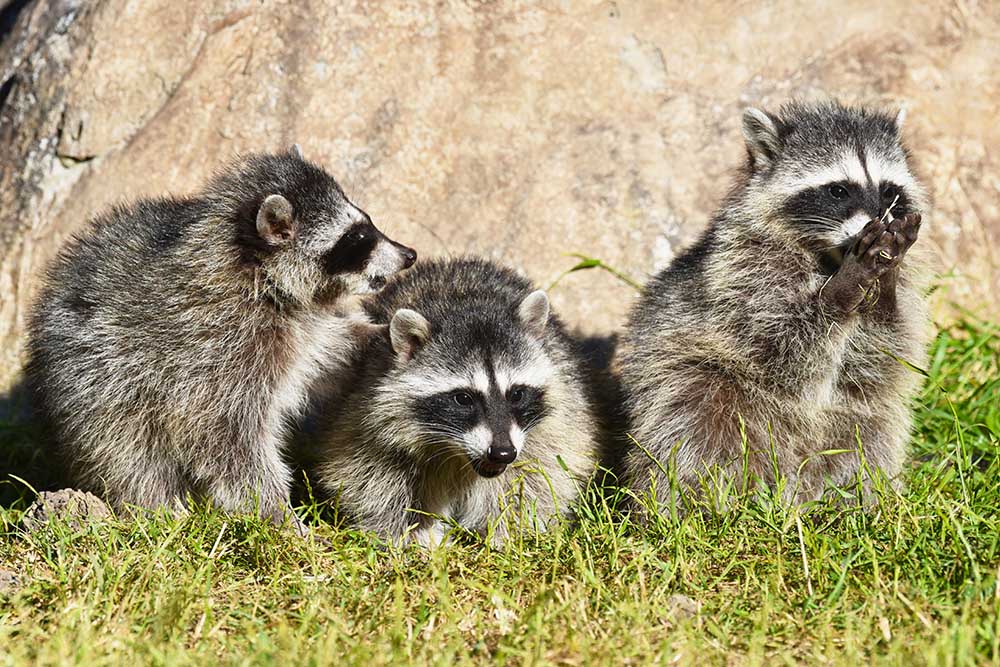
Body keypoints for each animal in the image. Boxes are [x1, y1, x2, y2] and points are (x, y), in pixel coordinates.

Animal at [27, 148, 416, 531]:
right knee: (130, 455)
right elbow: (223, 436)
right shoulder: (216, 346)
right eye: (356, 239)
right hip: (94, 386)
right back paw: (159, 509)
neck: (257, 273)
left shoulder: (297, 327)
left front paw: (377, 333)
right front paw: (279, 515)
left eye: (366, 221)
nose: (409, 255)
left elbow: (326, 350)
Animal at [311, 257, 599, 546]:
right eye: (463, 399)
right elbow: (372, 477)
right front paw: (406, 535)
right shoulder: (364, 407)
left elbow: (538, 473)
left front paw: (506, 532)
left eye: (516, 394)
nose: (502, 453)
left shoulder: (558, 413)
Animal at [619, 100, 930, 512]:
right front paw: (842, 292)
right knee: (694, 430)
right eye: (838, 190)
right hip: (692, 380)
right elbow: (777, 346)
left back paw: (857, 503)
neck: (830, 255)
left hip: (846, 426)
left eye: (889, 190)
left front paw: (883, 285)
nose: (880, 221)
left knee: (869, 434)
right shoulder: (742, 274)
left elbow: (883, 349)